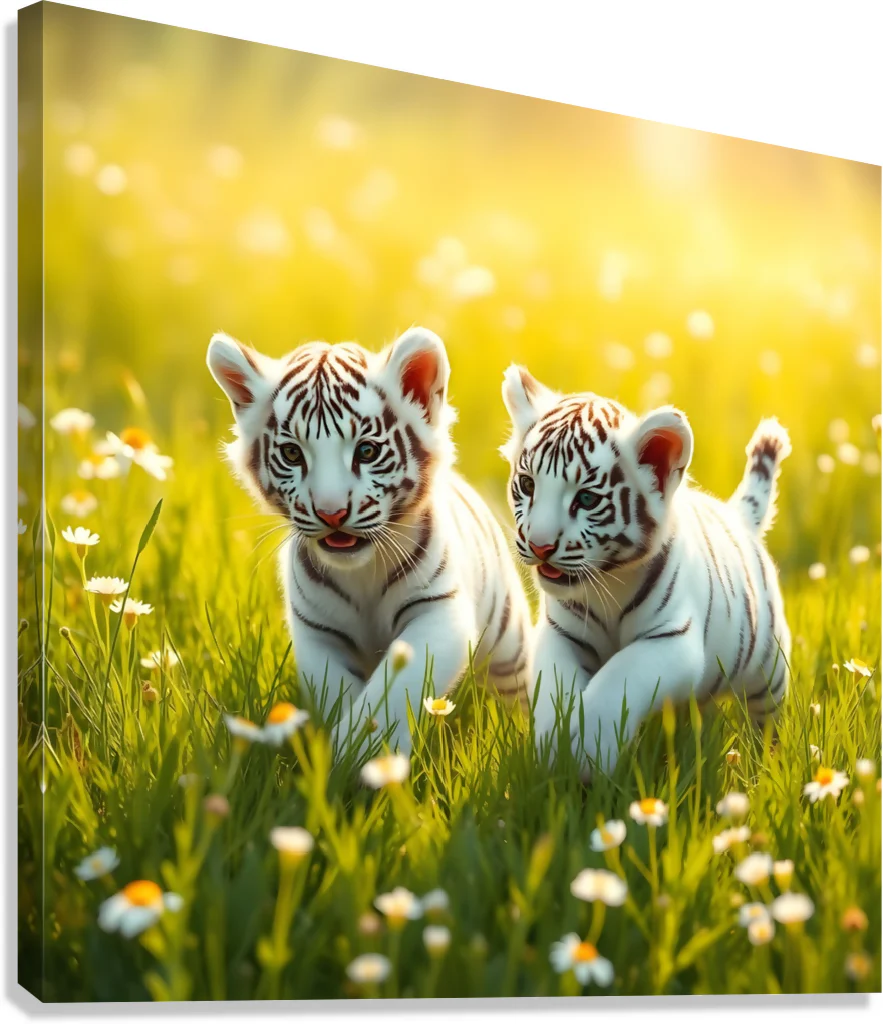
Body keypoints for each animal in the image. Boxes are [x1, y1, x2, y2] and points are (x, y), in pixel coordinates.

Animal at [207, 327, 532, 757]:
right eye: (292, 453)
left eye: (367, 451)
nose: (331, 513)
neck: (361, 574)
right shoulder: (318, 633)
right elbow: (339, 695)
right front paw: (339, 757)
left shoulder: (436, 612)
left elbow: (388, 697)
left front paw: (362, 755)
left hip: (509, 648)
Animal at [500, 364, 792, 774]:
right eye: (527, 485)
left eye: (586, 499)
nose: (540, 546)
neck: (608, 584)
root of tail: (738, 517)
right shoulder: (561, 635)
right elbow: (556, 691)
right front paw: (555, 752)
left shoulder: (671, 639)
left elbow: (618, 680)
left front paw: (589, 752)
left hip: (768, 669)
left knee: (766, 719)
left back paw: (766, 760)